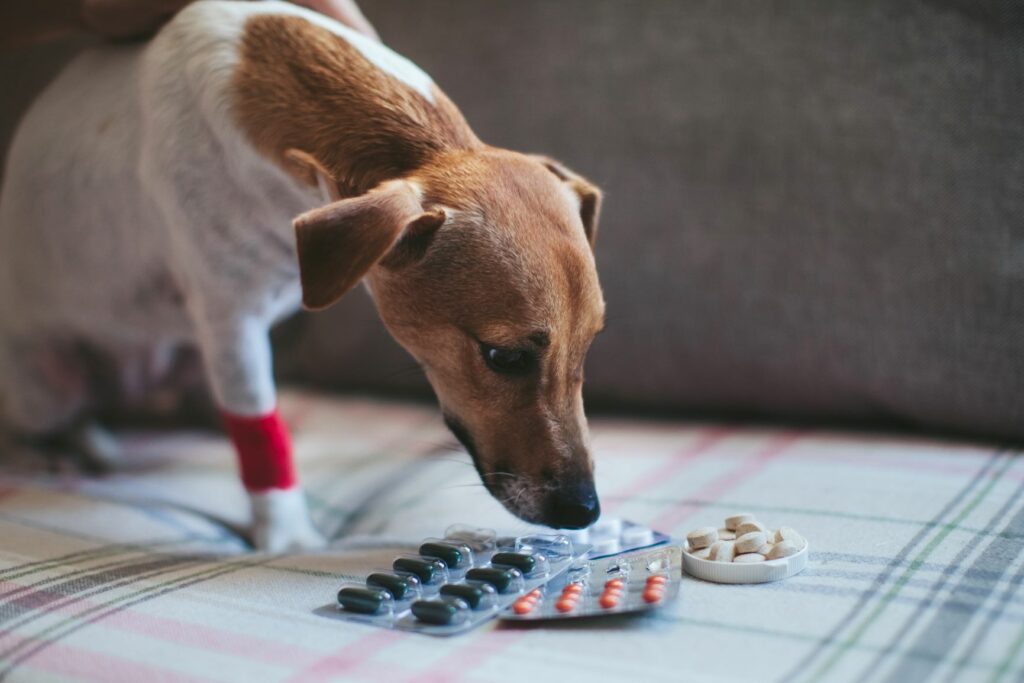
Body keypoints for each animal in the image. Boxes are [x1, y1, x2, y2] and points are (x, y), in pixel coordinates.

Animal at [0, 0, 602, 552]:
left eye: (589, 344)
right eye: (503, 357)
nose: (586, 512)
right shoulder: (231, 323)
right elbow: (258, 432)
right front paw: (287, 537)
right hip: (47, 383)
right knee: (52, 419)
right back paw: (58, 449)